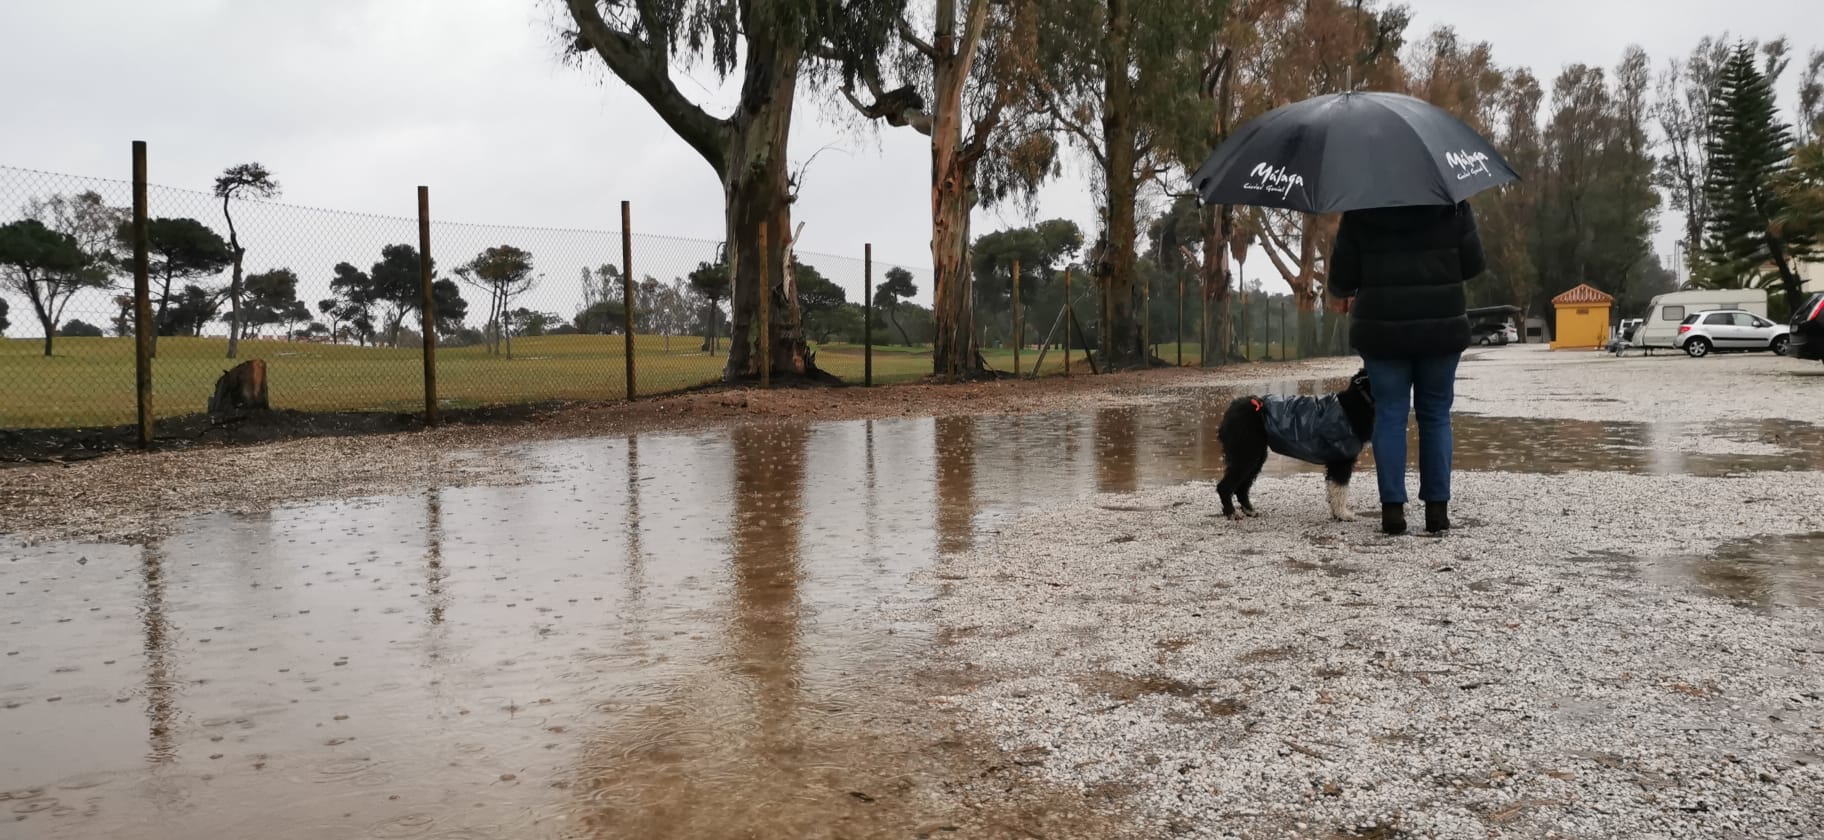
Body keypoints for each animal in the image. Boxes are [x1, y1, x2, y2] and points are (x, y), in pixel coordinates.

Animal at [1218, 369, 1371, 521]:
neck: (1352, 406)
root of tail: (1231, 410)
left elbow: (1333, 489)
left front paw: (1336, 513)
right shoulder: (1341, 459)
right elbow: (1340, 490)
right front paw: (1342, 514)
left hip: (1255, 456)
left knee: (1242, 487)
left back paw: (1249, 510)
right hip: (1245, 452)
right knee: (1224, 486)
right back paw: (1231, 512)